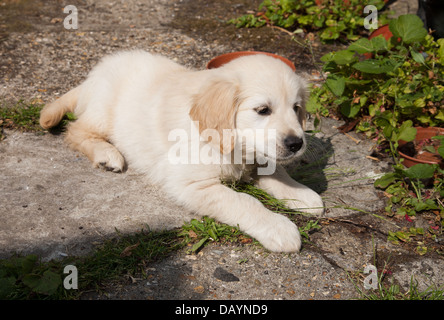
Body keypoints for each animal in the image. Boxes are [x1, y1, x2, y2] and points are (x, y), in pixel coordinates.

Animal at [40, 50, 322, 252]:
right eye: (263, 110)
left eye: (296, 108)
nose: (296, 144)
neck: (231, 145)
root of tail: (94, 75)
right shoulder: (192, 184)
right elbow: (243, 201)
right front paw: (279, 227)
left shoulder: (255, 156)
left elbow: (274, 171)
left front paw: (301, 194)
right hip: (103, 112)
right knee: (76, 130)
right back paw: (106, 154)